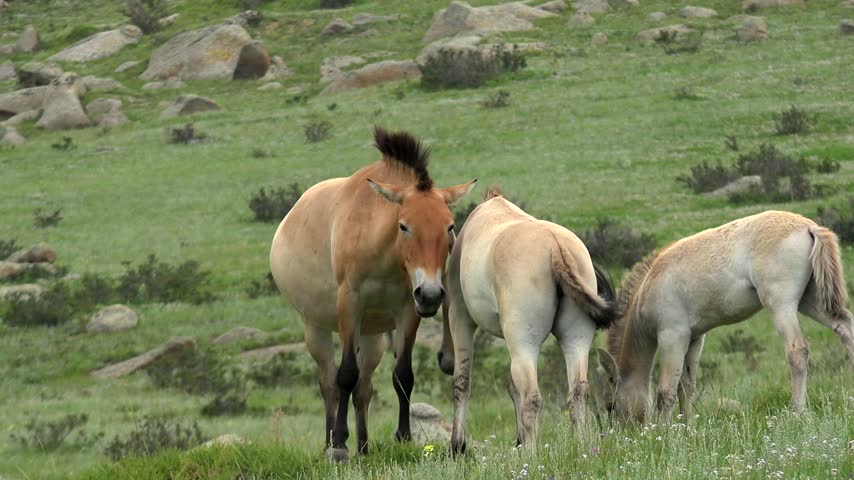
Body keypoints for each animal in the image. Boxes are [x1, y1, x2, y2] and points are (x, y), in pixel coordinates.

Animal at [269, 127, 475, 462]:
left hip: (372, 337)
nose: (432, 294)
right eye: (404, 226)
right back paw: (331, 443)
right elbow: (344, 375)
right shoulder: (349, 304)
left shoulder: (407, 310)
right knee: (329, 384)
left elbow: (402, 376)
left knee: (363, 389)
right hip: (316, 329)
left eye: (449, 226)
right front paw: (340, 442)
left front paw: (403, 437)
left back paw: (364, 447)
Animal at [443, 187, 618, 454]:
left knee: (533, 398)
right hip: (574, 340)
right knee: (577, 393)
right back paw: (580, 449)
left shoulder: (460, 318)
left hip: (524, 344)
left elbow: (462, 382)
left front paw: (457, 446)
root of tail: (556, 247)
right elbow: (511, 386)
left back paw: (531, 455)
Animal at [596, 210, 854, 423]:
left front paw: (662, 433)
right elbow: (686, 386)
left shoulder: (672, 337)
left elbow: (666, 390)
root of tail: (808, 227)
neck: (649, 287)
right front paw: (685, 427)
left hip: (782, 305)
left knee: (797, 350)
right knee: (845, 328)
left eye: (611, 406)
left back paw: (797, 411)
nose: (625, 434)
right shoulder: (694, 339)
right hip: (812, 302)